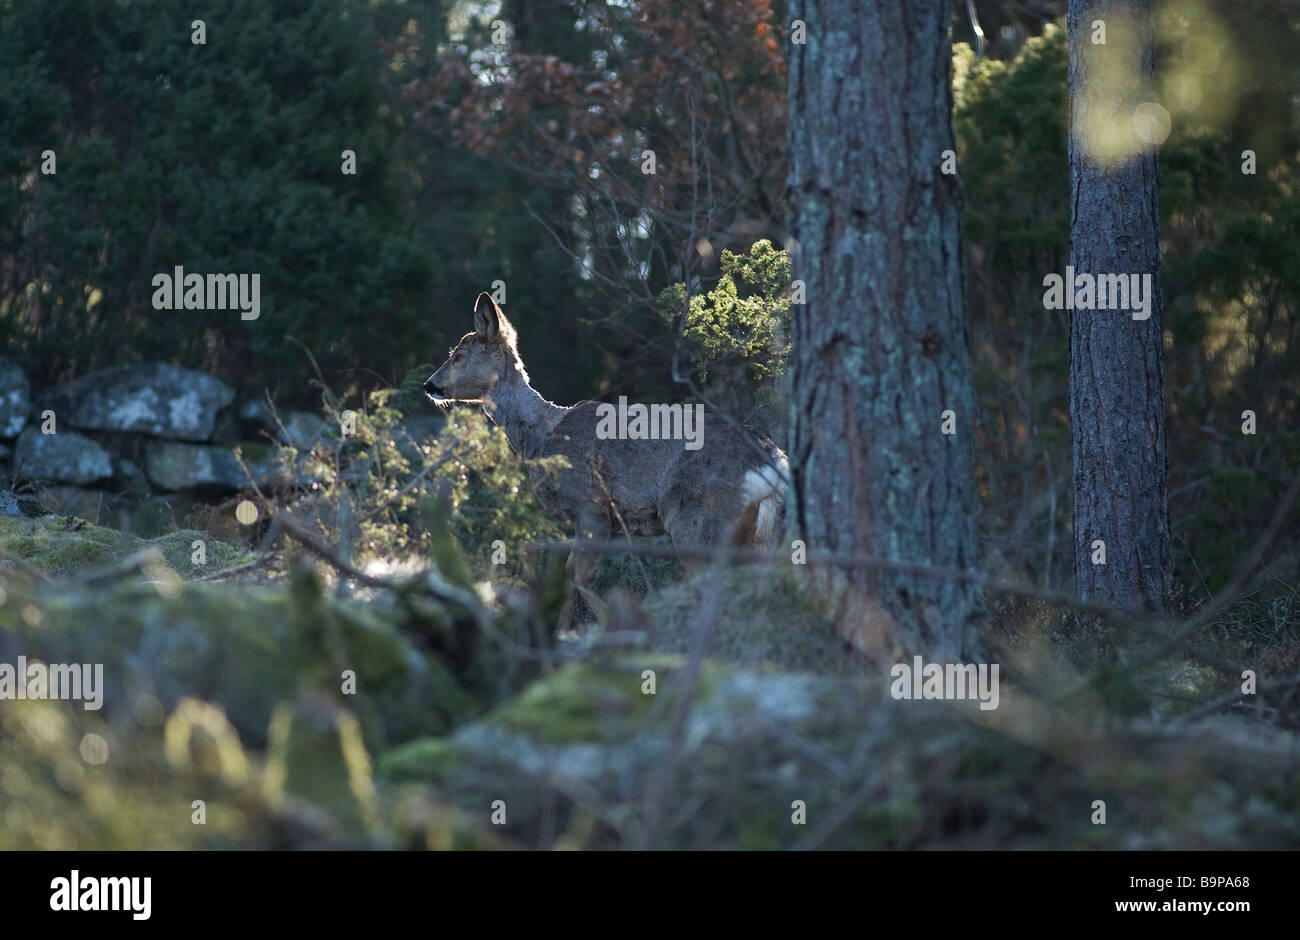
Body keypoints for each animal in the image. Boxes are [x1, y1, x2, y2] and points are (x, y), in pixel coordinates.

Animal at [424, 292, 789, 628]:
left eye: (458, 356)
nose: (430, 385)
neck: (544, 435)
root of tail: (771, 466)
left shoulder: (591, 504)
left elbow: (577, 574)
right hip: (763, 533)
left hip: (697, 518)